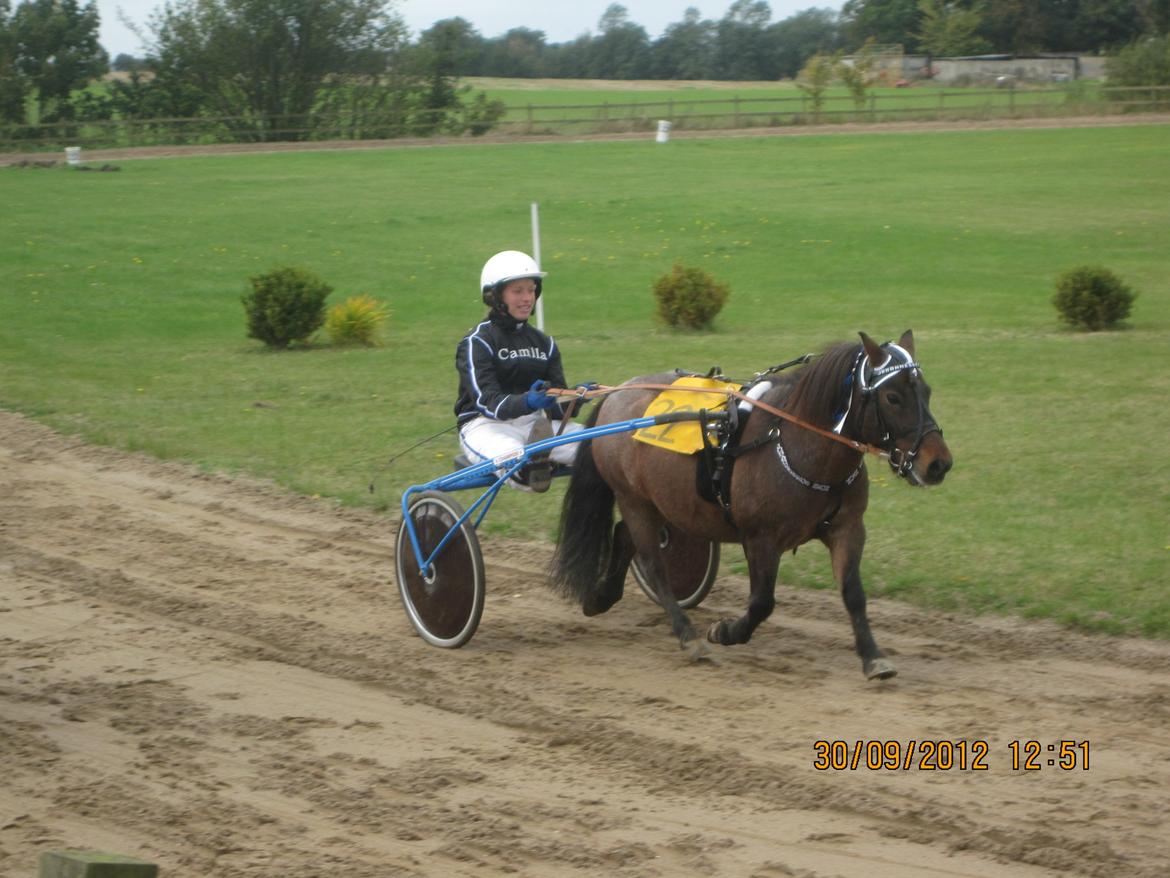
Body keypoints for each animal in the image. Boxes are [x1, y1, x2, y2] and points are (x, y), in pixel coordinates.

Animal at [547, 330, 950, 678]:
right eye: (893, 397)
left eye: (927, 391)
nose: (938, 463)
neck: (796, 445)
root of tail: (617, 394)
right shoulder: (761, 538)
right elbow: (761, 602)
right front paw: (726, 632)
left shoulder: (847, 528)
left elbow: (853, 594)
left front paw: (873, 656)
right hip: (634, 498)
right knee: (654, 563)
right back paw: (688, 636)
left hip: (659, 501)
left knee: (623, 535)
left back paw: (601, 597)